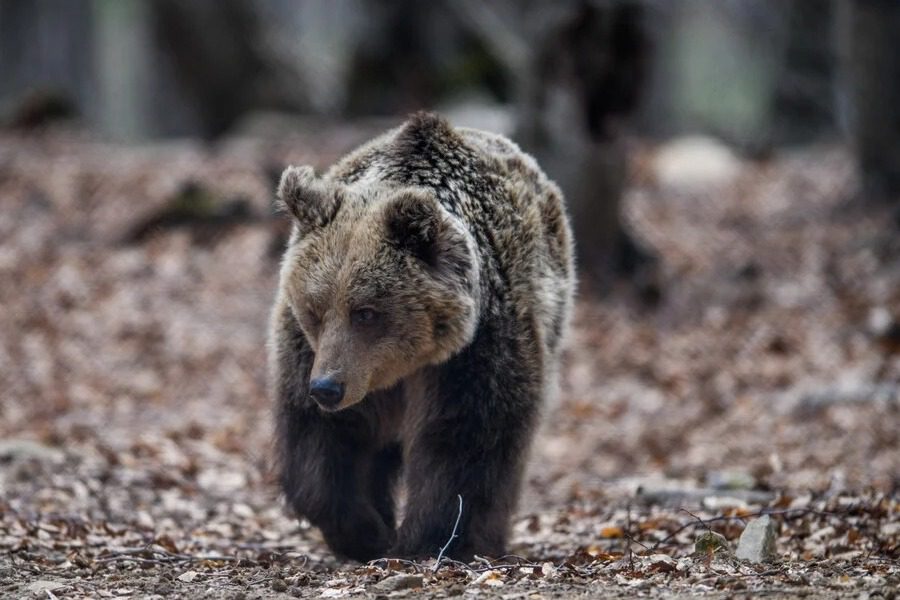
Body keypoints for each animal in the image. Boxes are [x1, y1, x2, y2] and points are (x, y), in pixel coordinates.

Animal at [270, 112, 572, 564]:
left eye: (366, 312)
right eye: (314, 309)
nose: (327, 388)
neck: (403, 366)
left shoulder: (474, 350)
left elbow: (464, 439)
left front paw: (430, 540)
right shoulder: (311, 353)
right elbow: (323, 442)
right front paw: (367, 531)